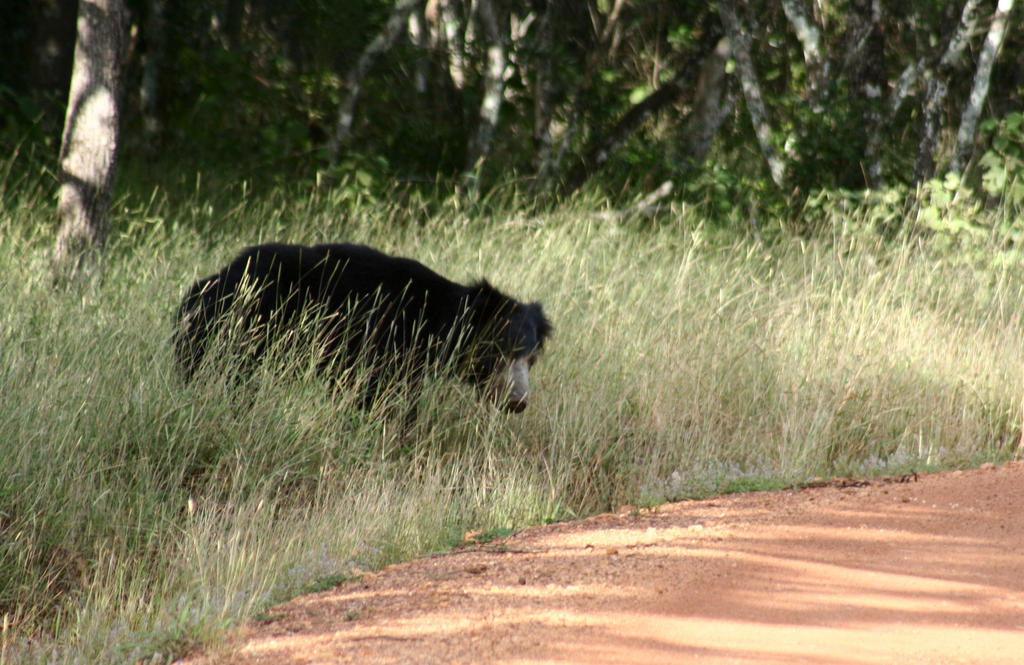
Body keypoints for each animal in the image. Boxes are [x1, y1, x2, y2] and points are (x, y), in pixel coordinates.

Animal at [174, 238, 552, 413]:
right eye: (500, 352)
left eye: (531, 360)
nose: (518, 401)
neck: (435, 321)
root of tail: (201, 288)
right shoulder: (386, 342)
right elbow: (381, 396)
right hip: (239, 332)